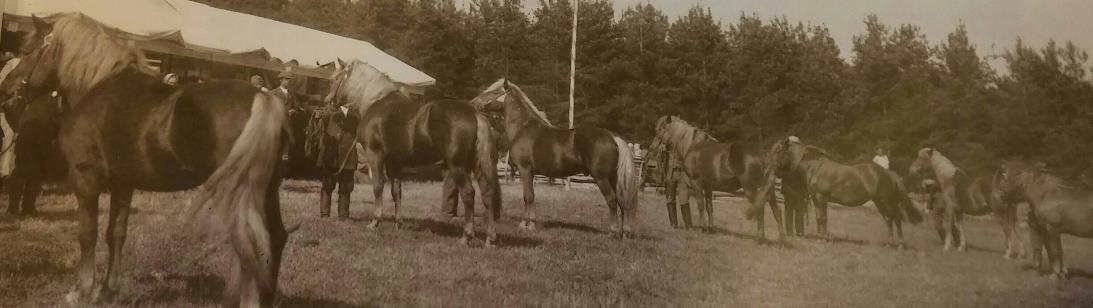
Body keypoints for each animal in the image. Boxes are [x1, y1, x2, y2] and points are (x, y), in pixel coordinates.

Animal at [0, 14, 290, 305]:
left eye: (28, 51)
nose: (6, 90)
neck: (97, 86)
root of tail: (261, 97)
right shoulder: (122, 184)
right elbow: (116, 233)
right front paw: (107, 290)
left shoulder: (85, 179)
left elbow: (87, 234)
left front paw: (81, 291)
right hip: (266, 190)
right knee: (274, 238)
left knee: (249, 241)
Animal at [321, 58, 498, 244]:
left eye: (333, 80)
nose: (327, 102)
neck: (375, 101)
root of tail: (474, 113)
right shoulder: (394, 162)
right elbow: (396, 192)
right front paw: (397, 224)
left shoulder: (375, 156)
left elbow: (378, 187)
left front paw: (375, 222)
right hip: (476, 166)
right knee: (488, 194)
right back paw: (490, 238)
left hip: (457, 166)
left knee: (469, 194)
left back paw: (466, 237)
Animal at [469, 79, 638, 238]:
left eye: (494, 92)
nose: (473, 103)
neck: (522, 128)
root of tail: (613, 137)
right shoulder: (531, 173)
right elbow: (531, 196)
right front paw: (531, 223)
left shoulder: (524, 169)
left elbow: (527, 196)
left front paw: (525, 225)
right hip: (614, 178)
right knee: (622, 201)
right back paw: (625, 232)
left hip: (601, 178)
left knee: (612, 200)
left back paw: (613, 232)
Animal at [642, 114, 782, 241]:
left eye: (659, 130)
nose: (650, 149)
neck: (693, 145)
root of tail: (764, 153)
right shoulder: (708, 186)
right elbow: (709, 206)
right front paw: (710, 228)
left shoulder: (696, 184)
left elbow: (701, 205)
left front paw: (703, 229)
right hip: (769, 191)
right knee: (777, 211)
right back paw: (782, 240)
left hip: (751, 189)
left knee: (760, 209)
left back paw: (760, 238)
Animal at [760, 137, 922, 247]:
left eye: (779, 150)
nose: (766, 169)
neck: (815, 167)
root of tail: (889, 173)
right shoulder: (816, 199)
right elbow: (819, 218)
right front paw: (821, 237)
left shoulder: (822, 198)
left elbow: (823, 218)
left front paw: (824, 239)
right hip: (879, 202)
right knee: (888, 219)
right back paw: (889, 243)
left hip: (888, 201)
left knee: (896, 218)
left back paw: (900, 244)